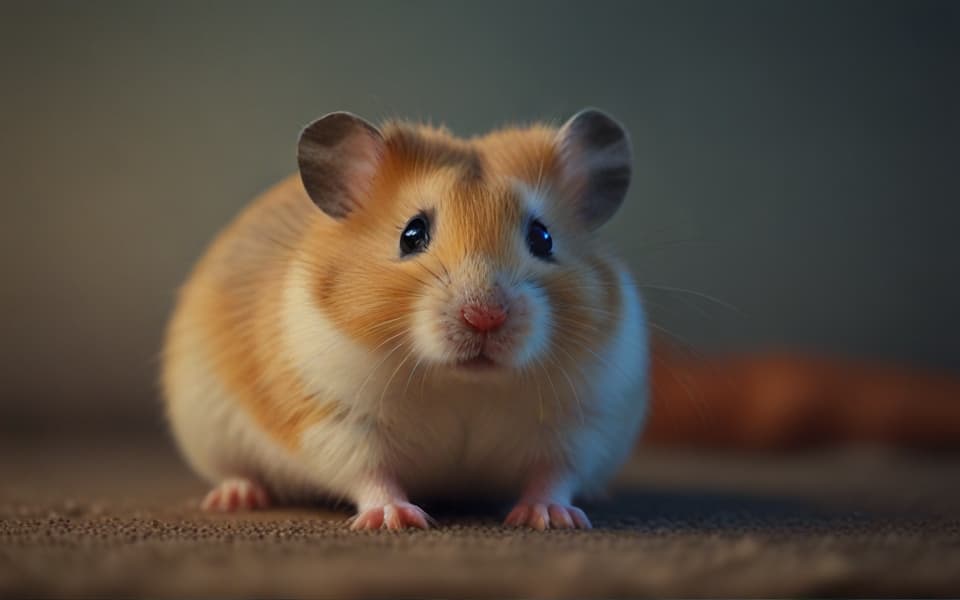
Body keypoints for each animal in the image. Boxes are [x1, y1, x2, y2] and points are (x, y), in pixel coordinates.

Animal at [161, 109, 648, 530]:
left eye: (542, 237)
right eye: (411, 235)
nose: (484, 317)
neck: (464, 384)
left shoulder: (580, 423)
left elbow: (553, 474)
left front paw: (550, 518)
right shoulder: (335, 418)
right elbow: (369, 473)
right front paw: (394, 520)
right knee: (235, 471)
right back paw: (235, 497)